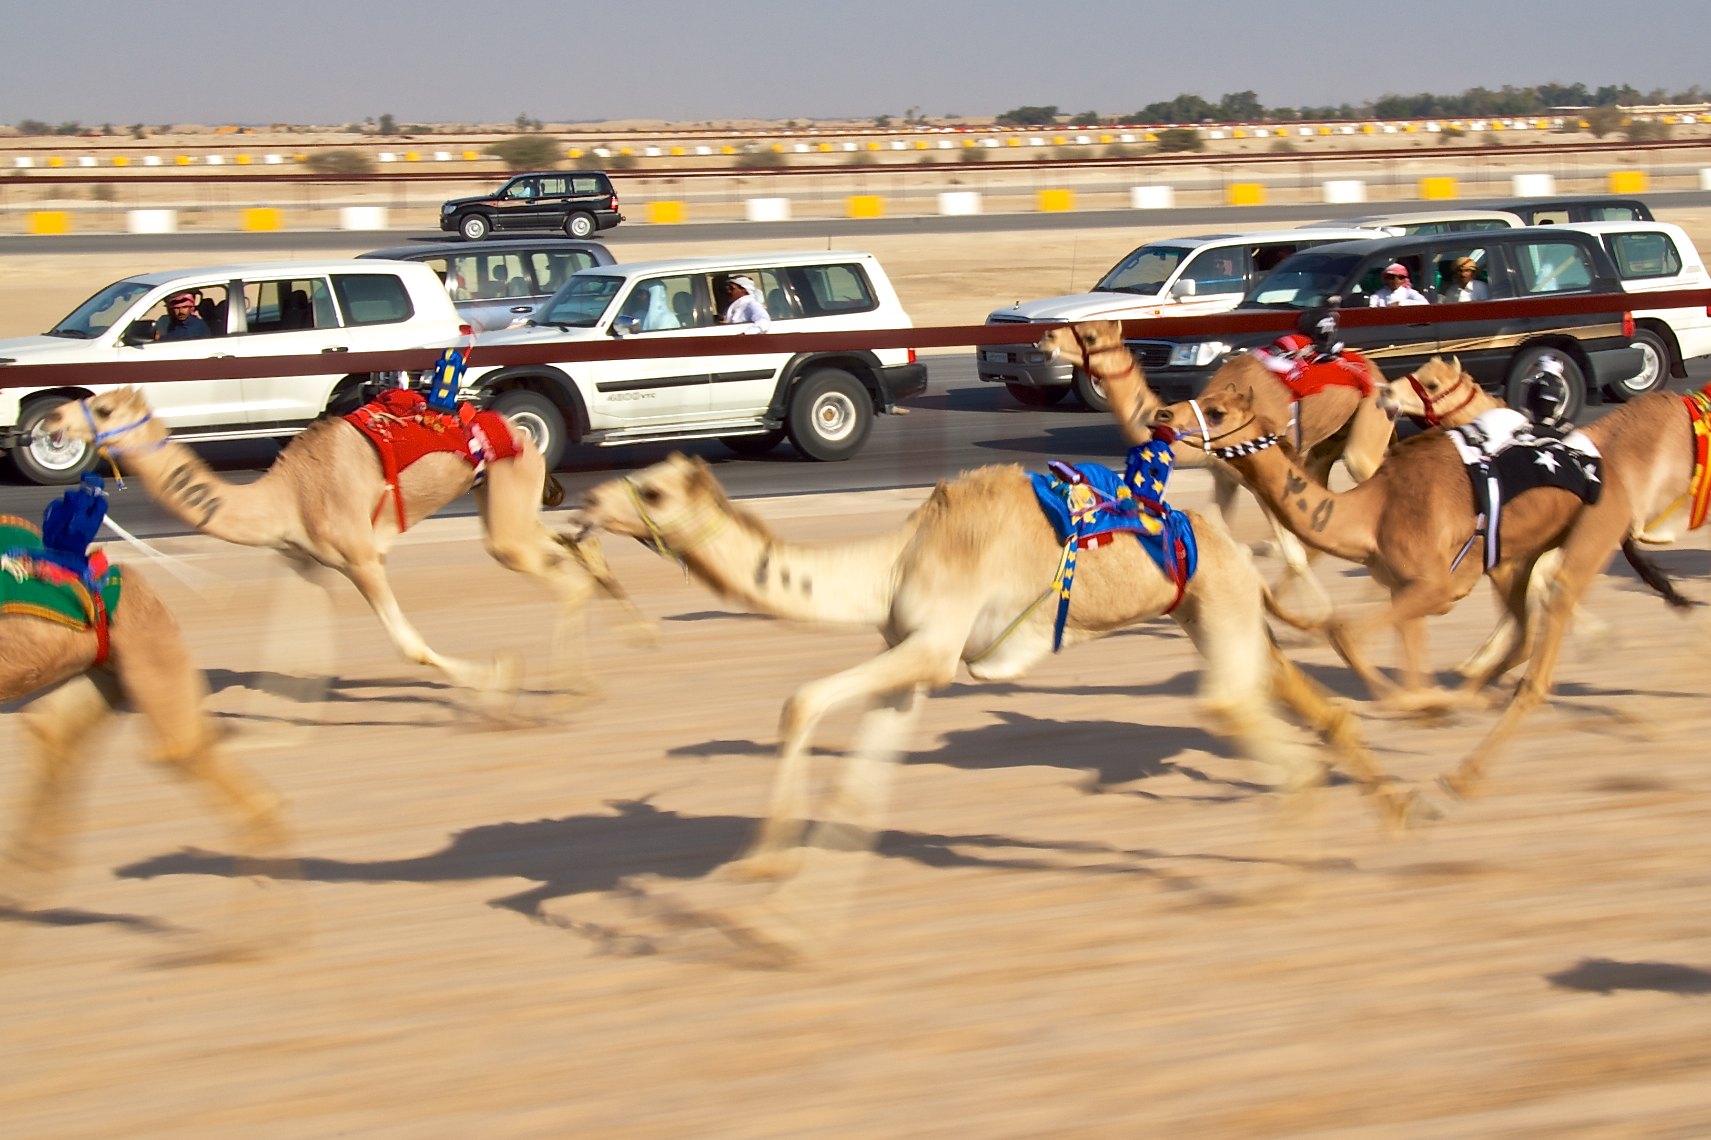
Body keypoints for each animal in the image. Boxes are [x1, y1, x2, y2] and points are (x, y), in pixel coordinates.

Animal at [568, 448, 1409, 903]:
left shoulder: (934, 647)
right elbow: (856, 772)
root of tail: (1220, 544)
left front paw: (763, 860)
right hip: (1212, 614)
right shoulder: (909, 661)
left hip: (1221, 612)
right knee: (1315, 709)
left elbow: (800, 700)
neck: (892, 562)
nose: (582, 502)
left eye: (652, 491)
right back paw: (1401, 821)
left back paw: (1274, 885)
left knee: (1263, 736)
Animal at [1033, 316, 1396, 612]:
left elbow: (1291, 555)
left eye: (1090, 336)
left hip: (1370, 420)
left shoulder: (1263, 479)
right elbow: (1224, 535)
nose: (1046, 336)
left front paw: (1318, 619)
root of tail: (1373, 367)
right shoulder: (1224, 476)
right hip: (1325, 445)